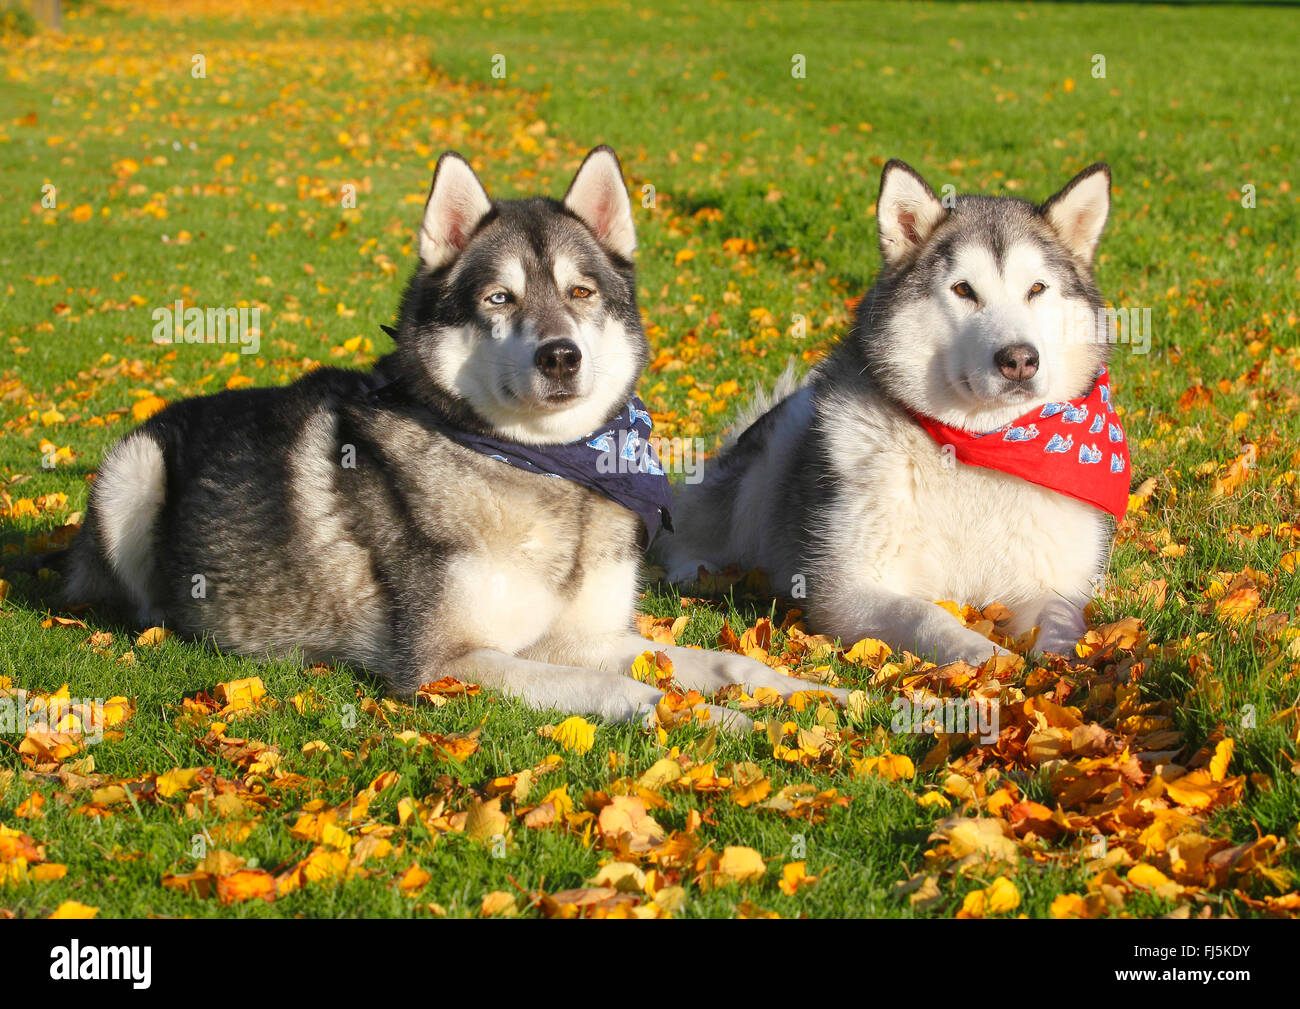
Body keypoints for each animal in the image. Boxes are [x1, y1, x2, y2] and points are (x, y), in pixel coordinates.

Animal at [55, 143, 842, 722]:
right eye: (499, 298)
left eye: (581, 292)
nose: (561, 355)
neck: (551, 468)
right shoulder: (450, 663)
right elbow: (629, 690)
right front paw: (711, 720)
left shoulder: (582, 636)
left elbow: (719, 660)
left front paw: (806, 691)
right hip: (133, 471)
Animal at [660, 159, 1128, 663]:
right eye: (963, 290)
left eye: (1037, 288)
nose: (1020, 359)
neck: (982, 445)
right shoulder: (845, 588)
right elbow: (925, 615)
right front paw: (986, 657)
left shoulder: (1054, 581)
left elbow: (1062, 620)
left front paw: (1065, 665)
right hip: (775, 449)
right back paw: (700, 570)